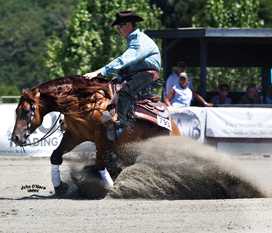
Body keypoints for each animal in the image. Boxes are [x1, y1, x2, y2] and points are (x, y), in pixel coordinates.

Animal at [11, 76, 181, 195]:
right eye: (16, 110)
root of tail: (174, 126)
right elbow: (56, 156)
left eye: (26, 111)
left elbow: (100, 164)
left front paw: (112, 188)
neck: (84, 103)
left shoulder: (102, 139)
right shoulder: (74, 135)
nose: (15, 138)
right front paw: (59, 187)